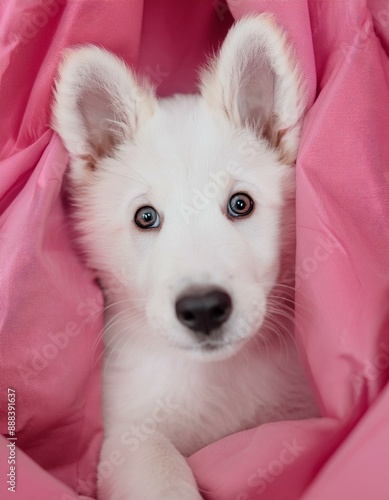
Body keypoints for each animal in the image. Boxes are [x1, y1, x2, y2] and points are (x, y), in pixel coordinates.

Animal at [53, 13, 316, 498]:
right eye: (146, 217)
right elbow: (160, 471)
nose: (204, 308)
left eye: (240, 204)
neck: (216, 376)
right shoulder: (128, 434)